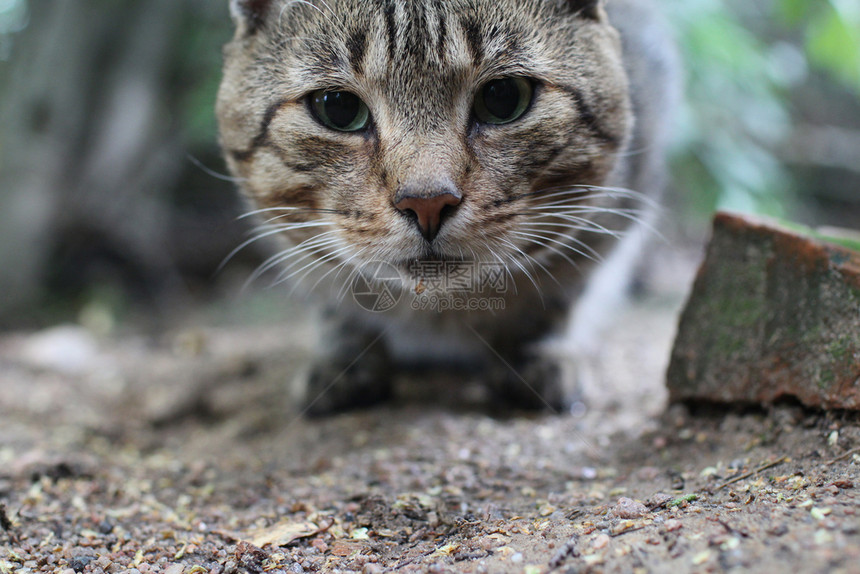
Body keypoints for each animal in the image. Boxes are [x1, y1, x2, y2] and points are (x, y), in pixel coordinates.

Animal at [215, 0, 680, 416]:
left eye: (504, 97)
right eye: (338, 107)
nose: (427, 203)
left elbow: (560, 294)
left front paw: (539, 353)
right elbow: (333, 305)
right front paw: (343, 360)